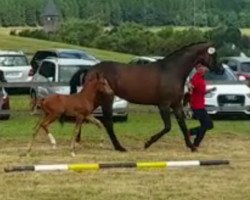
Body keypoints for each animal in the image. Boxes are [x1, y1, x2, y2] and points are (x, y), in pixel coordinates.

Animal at [70, 41, 223, 152]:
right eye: (213, 55)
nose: (220, 70)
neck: (172, 70)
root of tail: (91, 69)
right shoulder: (164, 105)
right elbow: (168, 127)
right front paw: (147, 143)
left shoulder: (176, 105)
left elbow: (183, 125)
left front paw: (191, 146)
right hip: (106, 99)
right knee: (107, 122)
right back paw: (119, 147)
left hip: (97, 100)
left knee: (84, 115)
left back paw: (78, 141)